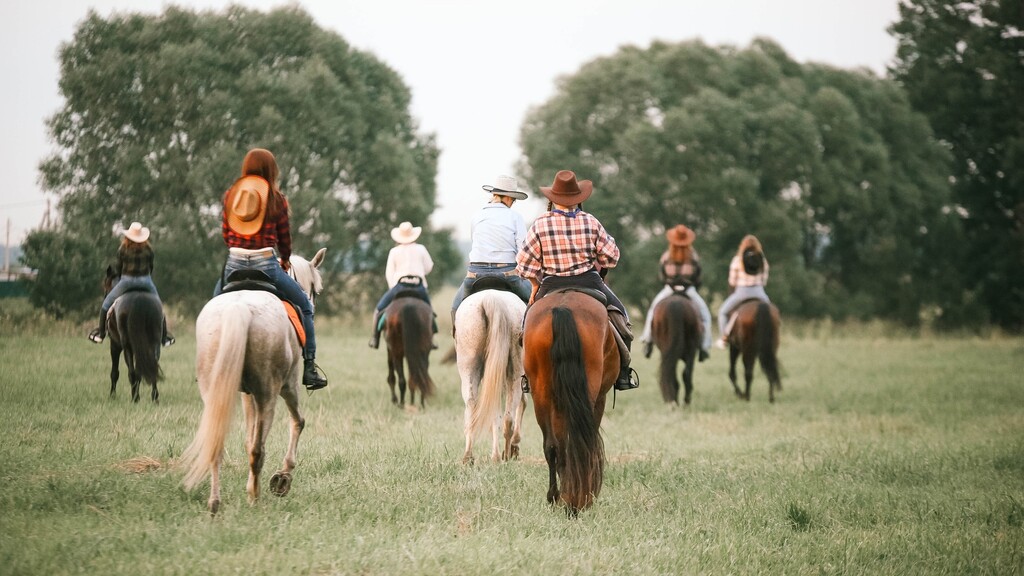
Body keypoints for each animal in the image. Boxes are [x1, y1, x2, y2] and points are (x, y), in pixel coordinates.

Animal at [102, 264, 162, 399]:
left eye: (105, 286)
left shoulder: (115, 345)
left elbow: (115, 372)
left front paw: (112, 395)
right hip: (153, 344)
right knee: (150, 367)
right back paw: (154, 397)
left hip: (127, 347)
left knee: (132, 372)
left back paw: (135, 397)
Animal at [180, 247, 323, 510]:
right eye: (315, 290)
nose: (312, 303)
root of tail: (239, 309)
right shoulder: (288, 385)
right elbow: (297, 422)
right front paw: (282, 478)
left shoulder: (247, 394)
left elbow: (248, 438)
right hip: (270, 392)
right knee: (259, 449)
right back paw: (255, 498)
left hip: (217, 391)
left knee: (218, 442)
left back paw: (215, 502)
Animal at [458, 289, 528, 463]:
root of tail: (491, 299)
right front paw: (515, 447)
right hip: (514, 371)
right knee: (509, 415)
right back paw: (504, 455)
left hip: (469, 366)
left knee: (472, 404)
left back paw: (471, 457)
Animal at [520, 289, 614, 512]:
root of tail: (562, 308)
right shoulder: (600, 397)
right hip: (589, 392)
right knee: (583, 444)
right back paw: (577, 500)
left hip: (542, 394)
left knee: (554, 447)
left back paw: (558, 496)